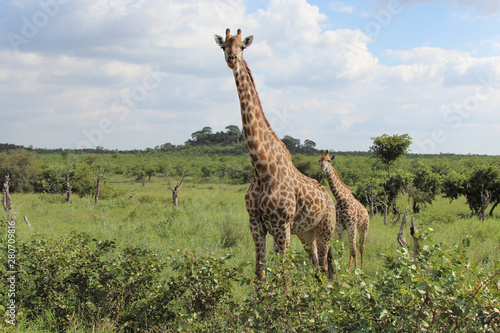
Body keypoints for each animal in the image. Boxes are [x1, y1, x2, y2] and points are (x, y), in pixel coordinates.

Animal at [214, 27, 336, 278]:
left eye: (242, 46)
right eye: (223, 46)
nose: (232, 59)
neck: (261, 166)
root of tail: (331, 202)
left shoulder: (282, 225)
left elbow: (284, 274)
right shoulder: (256, 224)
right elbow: (260, 272)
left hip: (325, 229)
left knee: (324, 268)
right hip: (306, 233)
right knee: (316, 265)